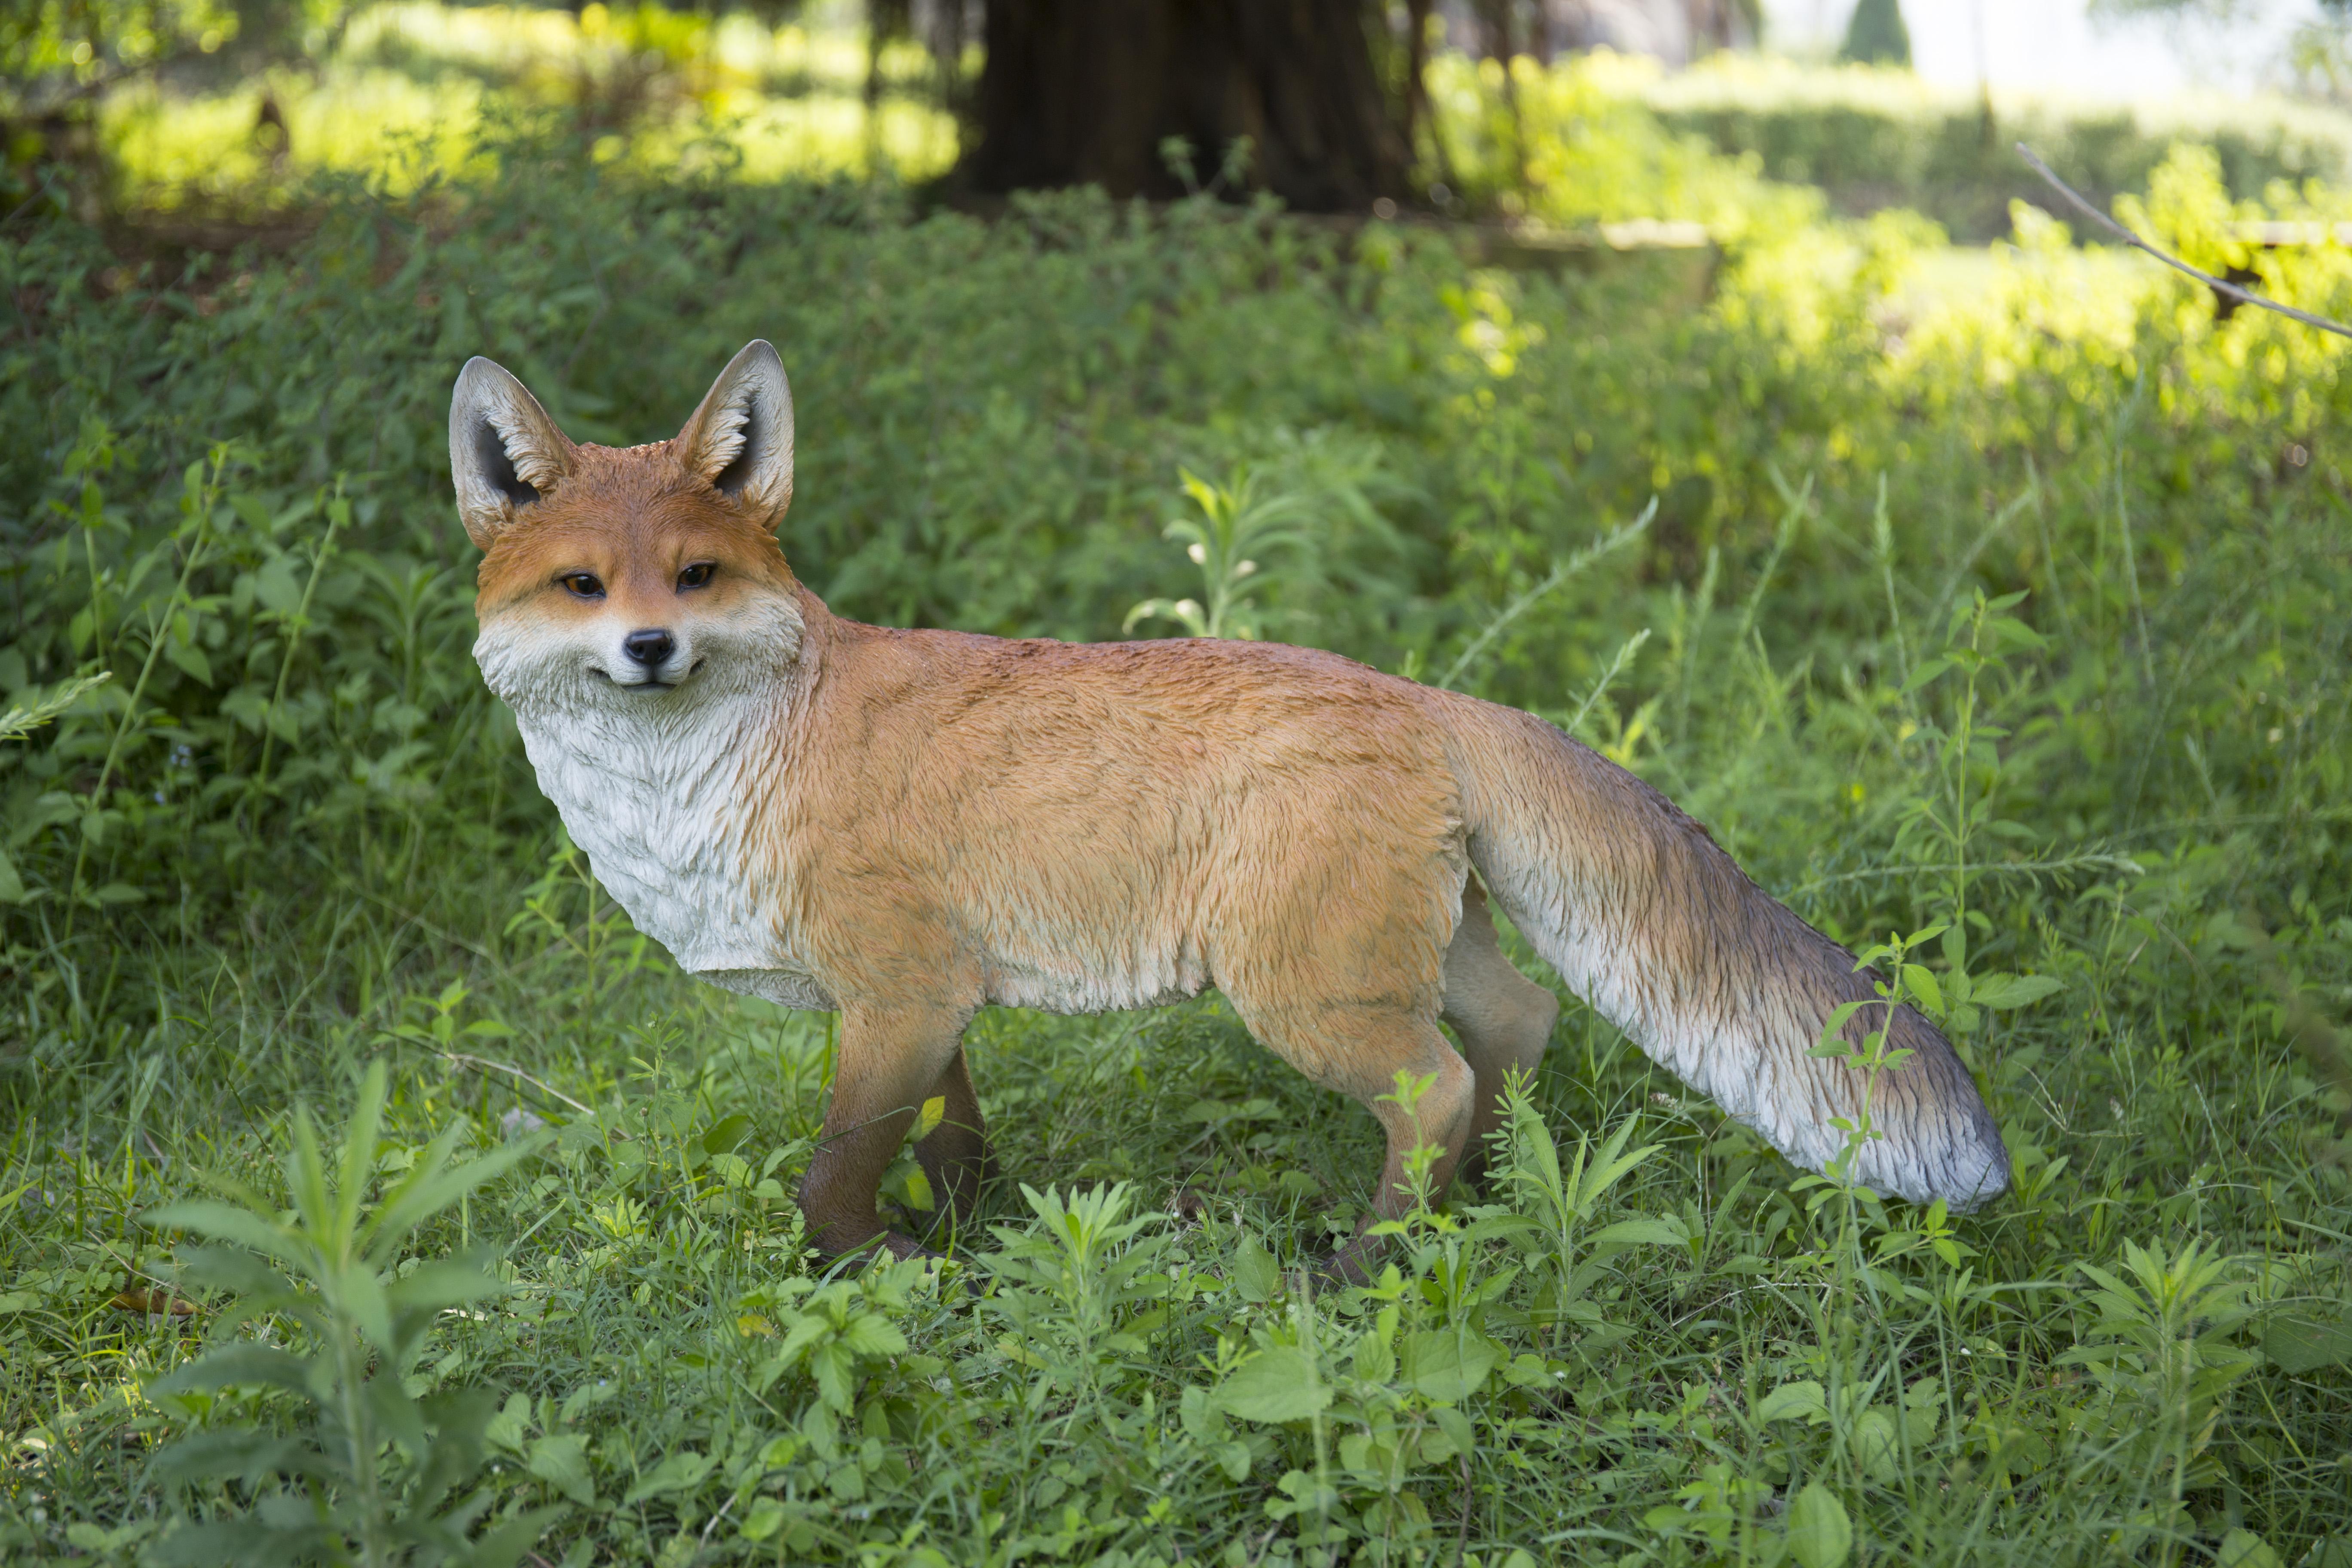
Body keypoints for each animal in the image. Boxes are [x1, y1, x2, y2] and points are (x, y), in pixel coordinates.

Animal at [450, 340, 2008, 1274]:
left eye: (696, 577)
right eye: (584, 587)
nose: (651, 647)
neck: (718, 784)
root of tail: (1418, 692)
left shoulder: (894, 991)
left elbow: (830, 1178)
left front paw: (880, 1271)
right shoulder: (930, 1000)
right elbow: (954, 1139)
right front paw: (975, 1240)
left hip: (1304, 991)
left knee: (1435, 1088)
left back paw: (1367, 1267)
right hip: (1410, 951)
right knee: (1517, 1025)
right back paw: (1494, 1199)